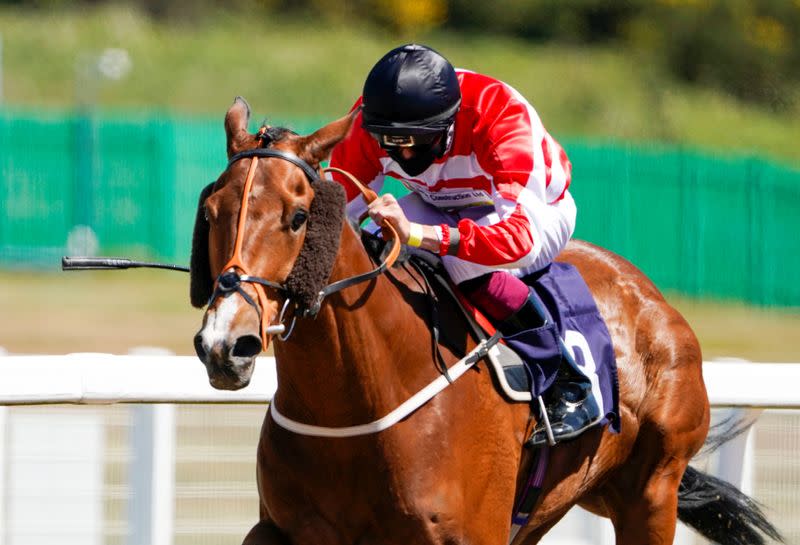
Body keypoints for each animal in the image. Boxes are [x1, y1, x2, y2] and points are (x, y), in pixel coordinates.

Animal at [192, 98, 780, 544]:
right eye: (212, 211)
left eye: (297, 217)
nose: (226, 344)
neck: (354, 403)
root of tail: (652, 297)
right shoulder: (282, 529)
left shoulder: (468, 534)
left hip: (651, 493)